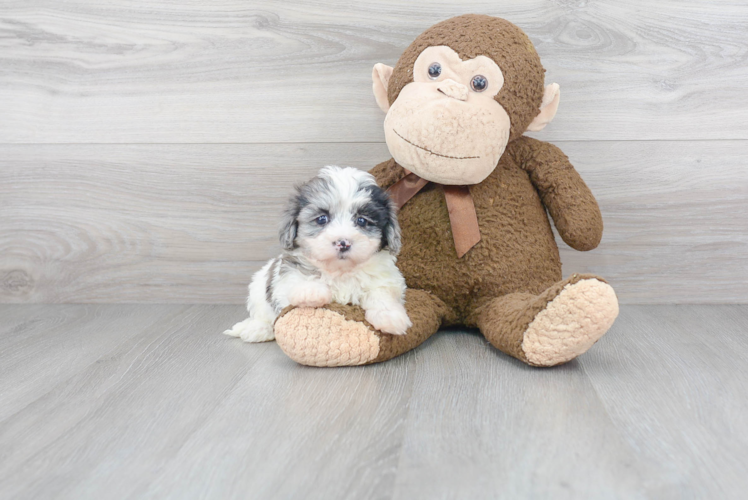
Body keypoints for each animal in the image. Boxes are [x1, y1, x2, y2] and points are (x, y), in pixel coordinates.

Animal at [225, 166, 412, 342]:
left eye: (362, 221)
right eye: (322, 219)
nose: (343, 243)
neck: (340, 271)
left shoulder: (385, 278)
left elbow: (382, 293)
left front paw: (390, 317)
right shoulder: (285, 277)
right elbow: (295, 280)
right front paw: (311, 291)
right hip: (257, 289)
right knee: (263, 315)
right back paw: (257, 329)